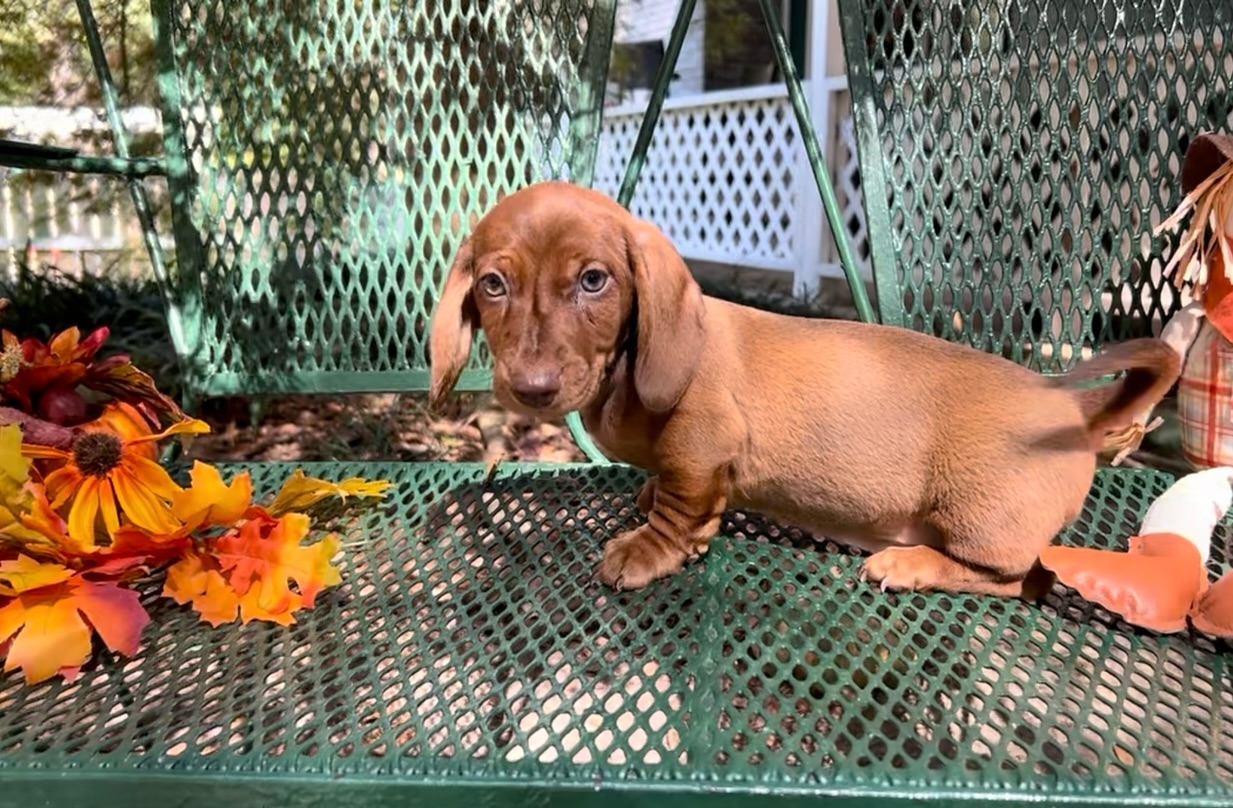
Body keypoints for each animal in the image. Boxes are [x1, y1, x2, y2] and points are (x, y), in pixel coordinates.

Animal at [429, 183, 1178, 599]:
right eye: (492, 284)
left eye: (593, 280)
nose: (530, 388)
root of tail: (1072, 407)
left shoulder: (702, 451)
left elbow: (680, 513)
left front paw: (646, 549)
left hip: (983, 524)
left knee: (1023, 579)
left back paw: (911, 564)